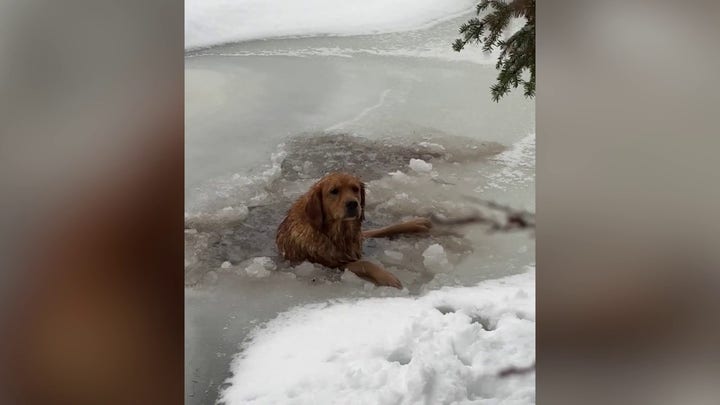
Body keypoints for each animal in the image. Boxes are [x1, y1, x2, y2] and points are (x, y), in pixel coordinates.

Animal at [278, 170, 434, 288]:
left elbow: (382, 229)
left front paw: (416, 223)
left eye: (355, 189)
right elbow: (365, 263)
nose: (353, 204)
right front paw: (387, 277)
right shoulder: (331, 263)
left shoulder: (358, 236)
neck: (337, 232)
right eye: (334, 191)